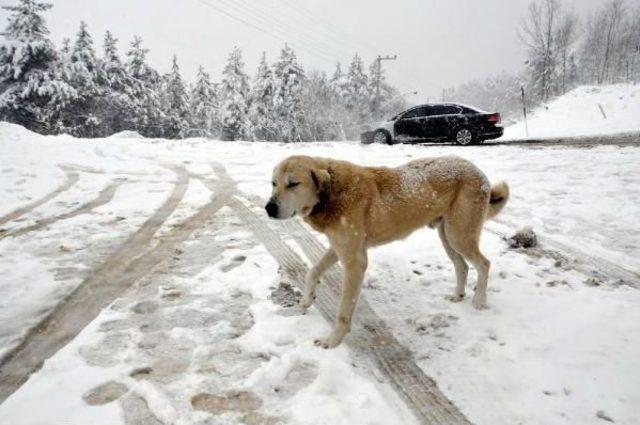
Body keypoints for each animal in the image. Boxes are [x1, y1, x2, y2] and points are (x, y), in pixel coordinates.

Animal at [264, 154, 510, 346]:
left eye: (293, 184)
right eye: (273, 183)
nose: (268, 208)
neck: (334, 192)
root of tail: (479, 172)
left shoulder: (355, 262)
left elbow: (343, 312)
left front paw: (332, 341)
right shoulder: (338, 248)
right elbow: (313, 271)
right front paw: (306, 300)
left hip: (459, 236)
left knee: (484, 264)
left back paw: (479, 301)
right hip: (448, 237)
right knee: (462, 266)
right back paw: (458, 295)